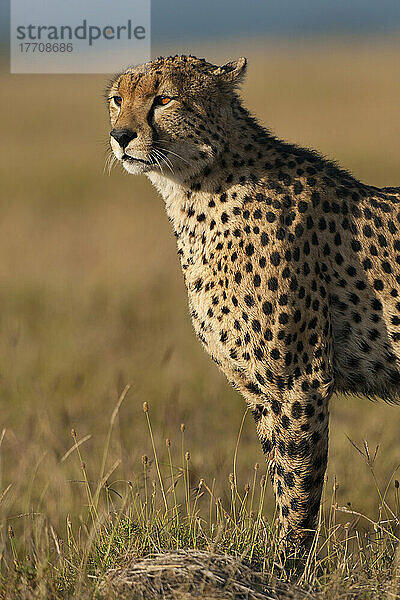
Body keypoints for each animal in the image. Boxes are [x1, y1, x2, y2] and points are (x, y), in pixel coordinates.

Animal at [106, 55, 400, 544]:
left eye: (164, 99)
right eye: (117, 99)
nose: (121, 136)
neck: (198, 189)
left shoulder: (299, 381)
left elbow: (298, 485)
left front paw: (286, 558)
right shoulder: (259, 389)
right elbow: (283, 472)